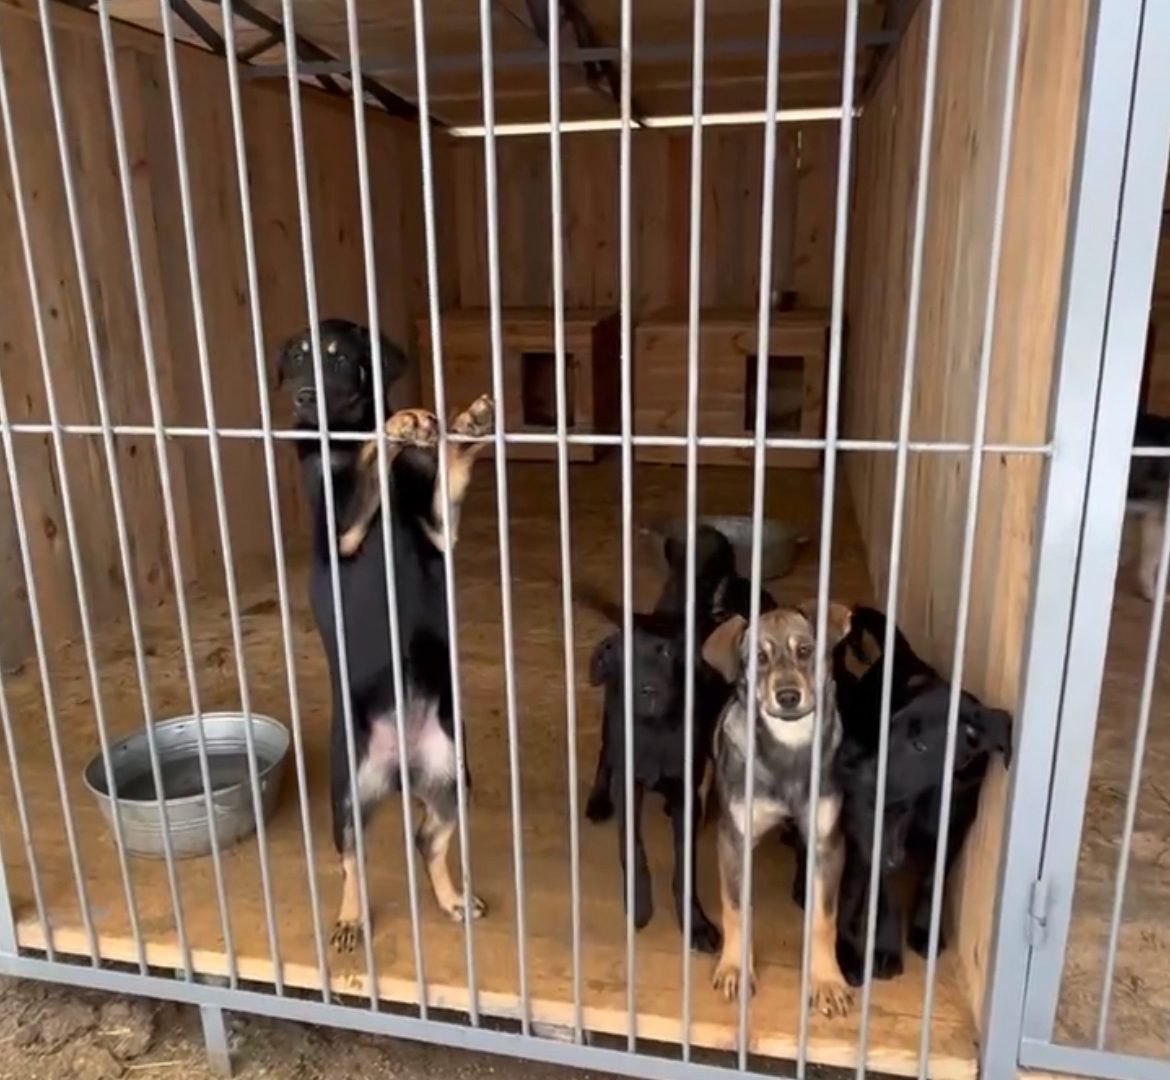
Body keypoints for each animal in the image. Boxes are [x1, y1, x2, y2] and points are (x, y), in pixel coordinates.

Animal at [279, 315, 498, 950]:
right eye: (295, 359)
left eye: (335, 358)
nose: (302, 399)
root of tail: (400, 770)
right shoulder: (341, 536)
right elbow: (372, 454)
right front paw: (399, 424)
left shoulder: (440, 532)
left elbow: (446, 471)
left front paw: (467, 426)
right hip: (346, 794)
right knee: (351, 860)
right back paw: (351, 919)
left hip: (454, 780)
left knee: (427, 840)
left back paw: (452, 900)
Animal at [697, 603, 856, 1015]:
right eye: (759, 657)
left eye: (805, 650)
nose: (787, 696)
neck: (789, 744)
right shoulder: (734, 840)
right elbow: (736, 910)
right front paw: (736, 969)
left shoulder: (828, 842)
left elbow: (824, 919)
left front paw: (827, 980)